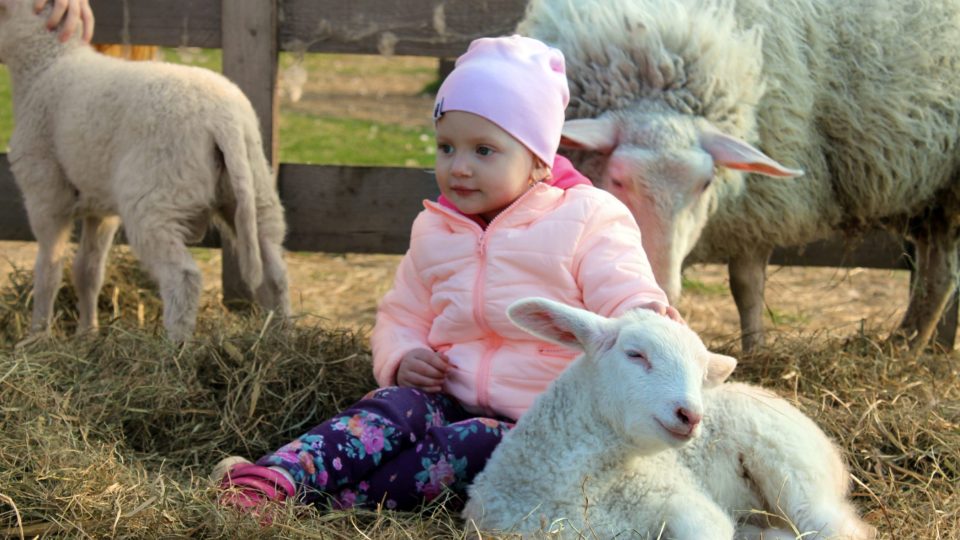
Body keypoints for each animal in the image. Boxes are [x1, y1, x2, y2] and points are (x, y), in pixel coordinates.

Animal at [0, 0, 292, 342]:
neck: (46, 62)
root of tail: (223, 119)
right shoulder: (100, 207)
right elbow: (87, 271)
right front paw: (88, 334)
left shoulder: (45, 193)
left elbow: (48, 270)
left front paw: (37, 337)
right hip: (255, 190)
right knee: (275, 272)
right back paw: (282, 336)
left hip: (158, 198)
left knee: (183, 277)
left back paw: (175, 347)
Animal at [464, 298, 876, 536]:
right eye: (635, 354)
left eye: (701, 370)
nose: (691, 415)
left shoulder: (689, 507)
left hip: (792, 468)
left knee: (837, 528)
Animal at [520, 0, 960, 352]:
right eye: (618, 180)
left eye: (705, 184)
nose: (662, 289)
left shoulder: (759, 206)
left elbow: (746, 285)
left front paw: (754, 349)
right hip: (934, 201)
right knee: (936, 276)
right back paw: (904, 343)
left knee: (940, 278)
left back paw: (906, 350)